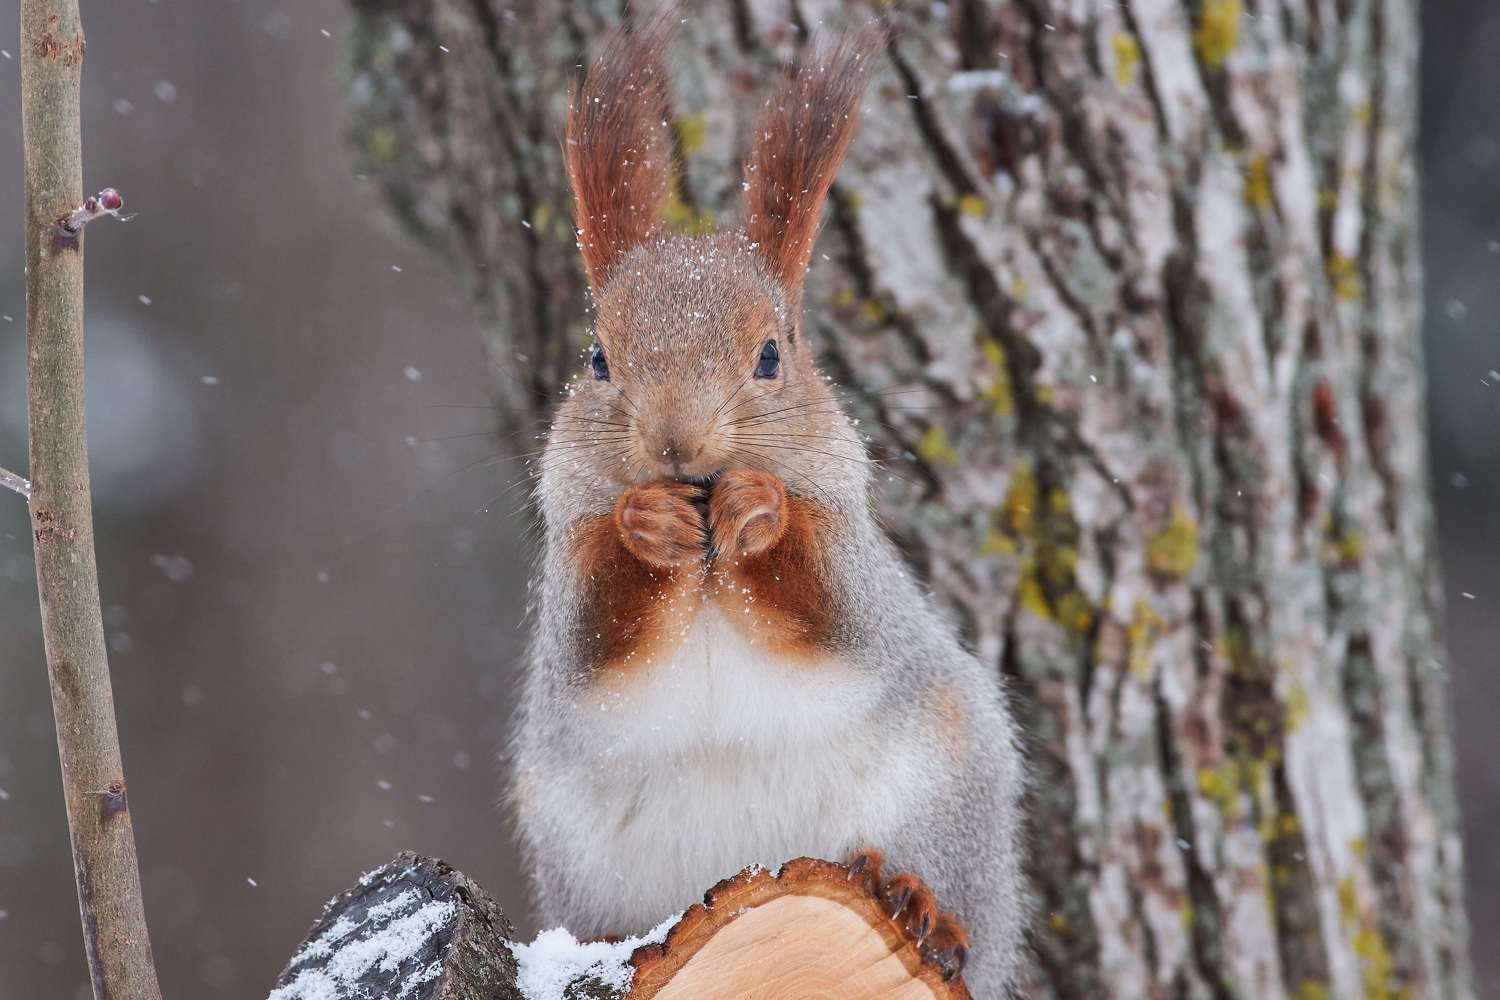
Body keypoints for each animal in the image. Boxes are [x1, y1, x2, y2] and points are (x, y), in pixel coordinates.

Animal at [510, 19, 1030, 997]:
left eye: (770, 356)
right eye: (597, 359)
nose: (676, 442)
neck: (707, 564)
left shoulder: (858, 563)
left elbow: (825, 601)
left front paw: (761, 511)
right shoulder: (567, 583)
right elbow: (599, 633)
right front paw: (646, 526)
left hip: (951, 805)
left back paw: (917, 900)